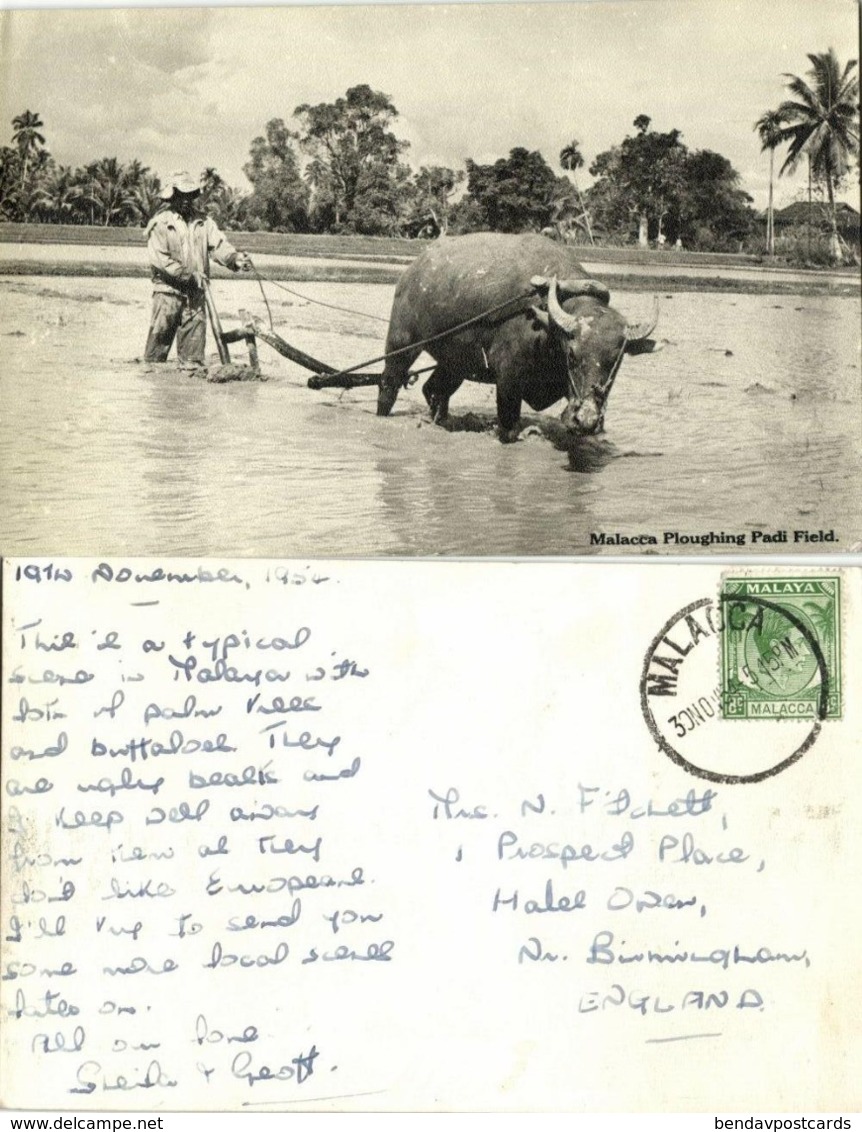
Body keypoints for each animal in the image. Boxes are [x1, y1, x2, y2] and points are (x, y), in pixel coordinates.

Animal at [376, 230, 656, 441]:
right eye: (572, 355)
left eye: (615, 361)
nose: (586, 418)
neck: (545, 327)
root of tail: (412, 271)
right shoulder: (508, 380)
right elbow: (509, 427)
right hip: (402, 342)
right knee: (389, 383)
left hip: (456, 361)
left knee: (435, 390)